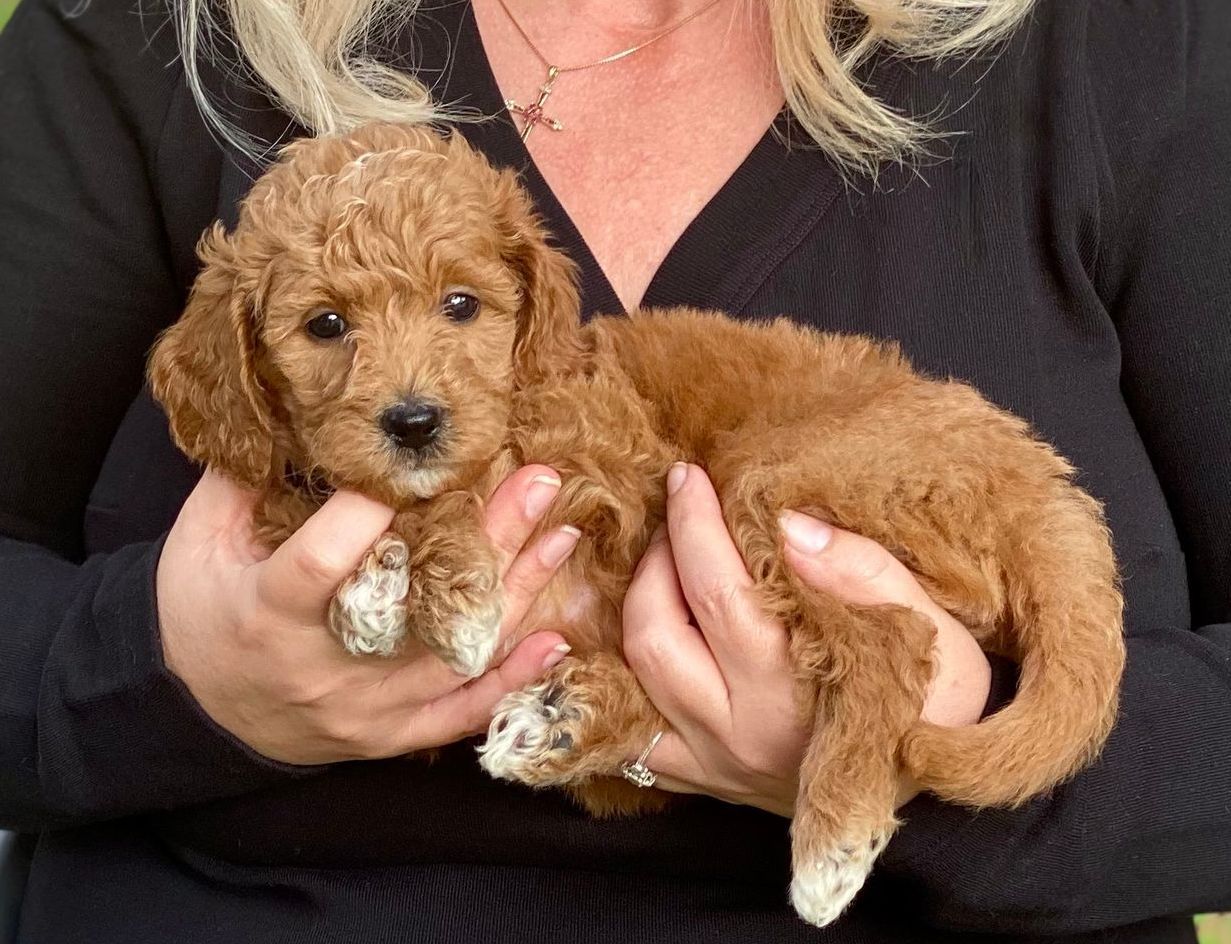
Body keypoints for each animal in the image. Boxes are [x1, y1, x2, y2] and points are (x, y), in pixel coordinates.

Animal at [146, 121, 1127, 925]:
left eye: (460, 306)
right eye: (324, 325)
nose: (413, 422)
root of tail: (1036, 475)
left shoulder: (605, 469)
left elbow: (473, 484)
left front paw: (443, 584)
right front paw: (374, 580)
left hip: (773, 485)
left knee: (890, 644)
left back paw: (830, 841)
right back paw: (557, 724)